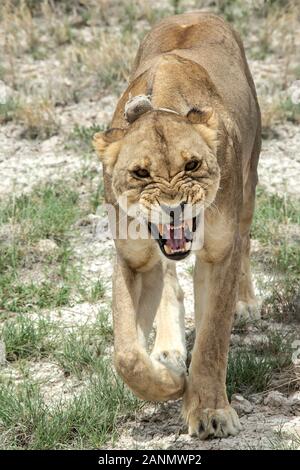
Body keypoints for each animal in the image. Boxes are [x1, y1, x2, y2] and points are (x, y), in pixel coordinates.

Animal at [94, 11, 260, 440]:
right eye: (140, 173)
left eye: (193, 164)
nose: (174, 209)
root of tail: (192, 13)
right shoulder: (133, 259)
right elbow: (126, 354)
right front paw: (169, 380)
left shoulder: (219, 254)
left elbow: (212, 339)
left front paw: (210, 411)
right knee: (169, 279)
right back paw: (167, 351)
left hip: (250, 180)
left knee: (246, 242)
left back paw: (246, 303)